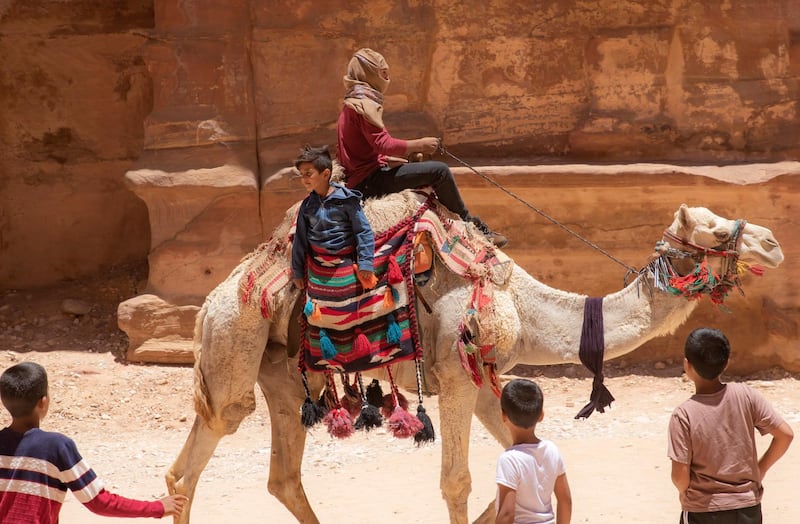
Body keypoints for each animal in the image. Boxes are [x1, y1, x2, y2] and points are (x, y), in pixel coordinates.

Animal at [162, 189, 780, 524]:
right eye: (715, 230)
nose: (773, 243)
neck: (519, 301)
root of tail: (210, 302)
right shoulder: (456, 375)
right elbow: (456, 481)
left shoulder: (484, 378)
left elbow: (520, 459)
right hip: (235, 343)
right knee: (202, 446)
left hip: (285, 375)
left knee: (281, 476)